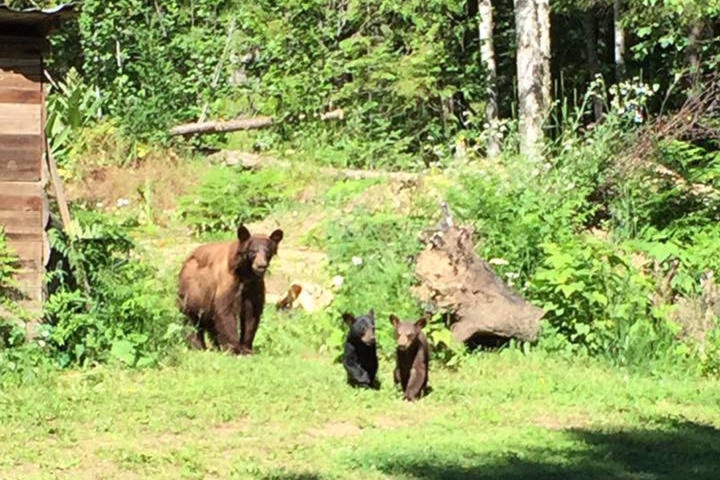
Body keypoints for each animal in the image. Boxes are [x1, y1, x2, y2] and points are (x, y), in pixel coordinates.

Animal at [176, 223, 282, 354]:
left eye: (268, 251)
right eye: (253, 251)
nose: (261, 266)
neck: (245, 274)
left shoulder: (254, 286)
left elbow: (251, 314)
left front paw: (246, 348)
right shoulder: (227, 282)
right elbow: (225, 311)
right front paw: (234, 348)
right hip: (191, 294)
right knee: (191, 320)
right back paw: (197, 346)